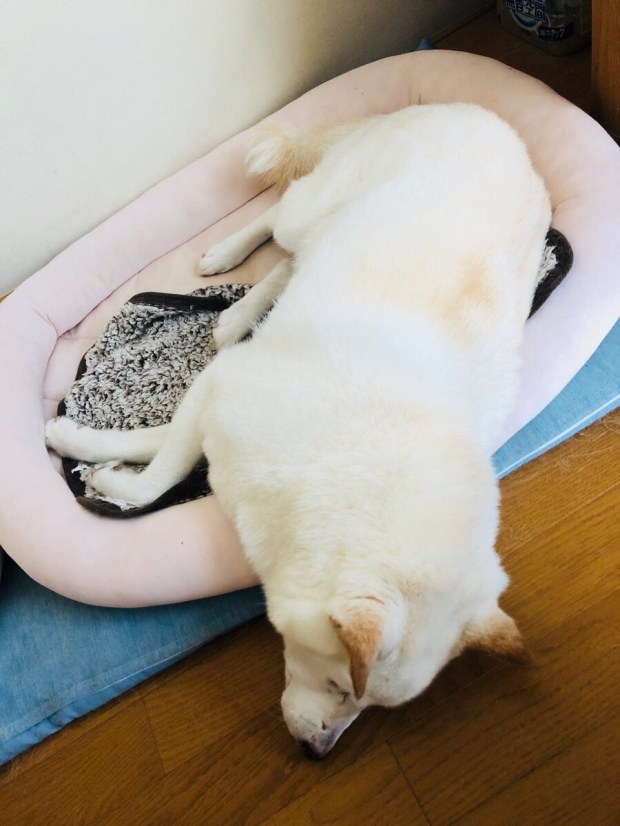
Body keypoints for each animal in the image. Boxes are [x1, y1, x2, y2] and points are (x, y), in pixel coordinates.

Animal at [46, 103, 549, 759]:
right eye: (338, 684)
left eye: (368, 707)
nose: (318, 754)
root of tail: (477, 112)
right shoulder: (220, 389)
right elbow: (160, 474)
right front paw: (93, 458)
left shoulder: (221, 409)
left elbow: (157, 452)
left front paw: (95, 457)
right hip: (312, 209)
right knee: (277, 217)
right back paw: (226, 263)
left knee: (291, 265)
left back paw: (237, 313)